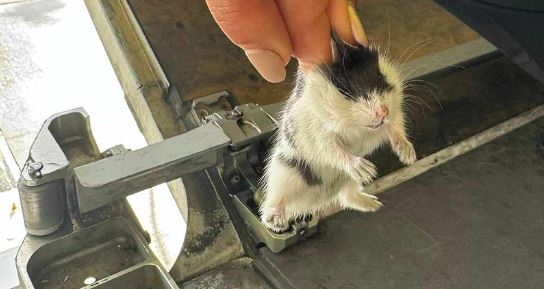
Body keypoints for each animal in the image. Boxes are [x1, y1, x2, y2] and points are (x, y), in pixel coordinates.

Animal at [260, 34, 416, 232]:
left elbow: (396, 130)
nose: (383, 112)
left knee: (346, 198)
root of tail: (319, 201)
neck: (357, 126)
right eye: (346, 90)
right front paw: (368, 171)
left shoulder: (394, 116)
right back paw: (277, 223)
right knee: (271, 206)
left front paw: (409, 157)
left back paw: (375, 204)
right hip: (284, 176)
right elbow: (337, 152)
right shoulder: (320, 136)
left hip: (348, 183)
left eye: (381, 76)